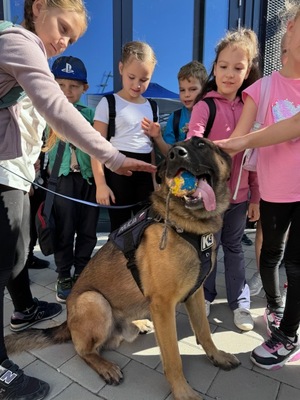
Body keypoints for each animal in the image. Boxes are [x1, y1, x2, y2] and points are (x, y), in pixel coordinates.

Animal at [5, 138, 239, 400]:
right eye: (169, 154)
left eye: (201, 144)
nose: (175, 154)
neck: (185, 225)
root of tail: (67, 322)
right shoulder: (163, 306)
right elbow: (173, 358)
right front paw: (182, 391)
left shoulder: (195, 294)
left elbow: (205, 332)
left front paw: (217, 356)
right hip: (93, 300)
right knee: (83, 350)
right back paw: (104, 366)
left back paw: (139, 324)